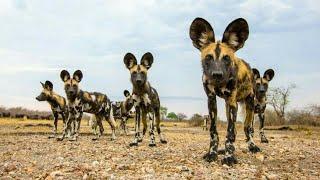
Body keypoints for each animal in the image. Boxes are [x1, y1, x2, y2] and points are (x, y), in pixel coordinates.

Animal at [190, 17, 260, 165]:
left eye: (226, 58)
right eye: (208, 57)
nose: (217, 74)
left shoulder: (233, 101)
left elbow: (231, 132)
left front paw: (229, 157)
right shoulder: (211, 100)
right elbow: (213, 132)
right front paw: (213, 153)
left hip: (249, 104)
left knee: (247, 128)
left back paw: (252, 146)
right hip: (229, 107)